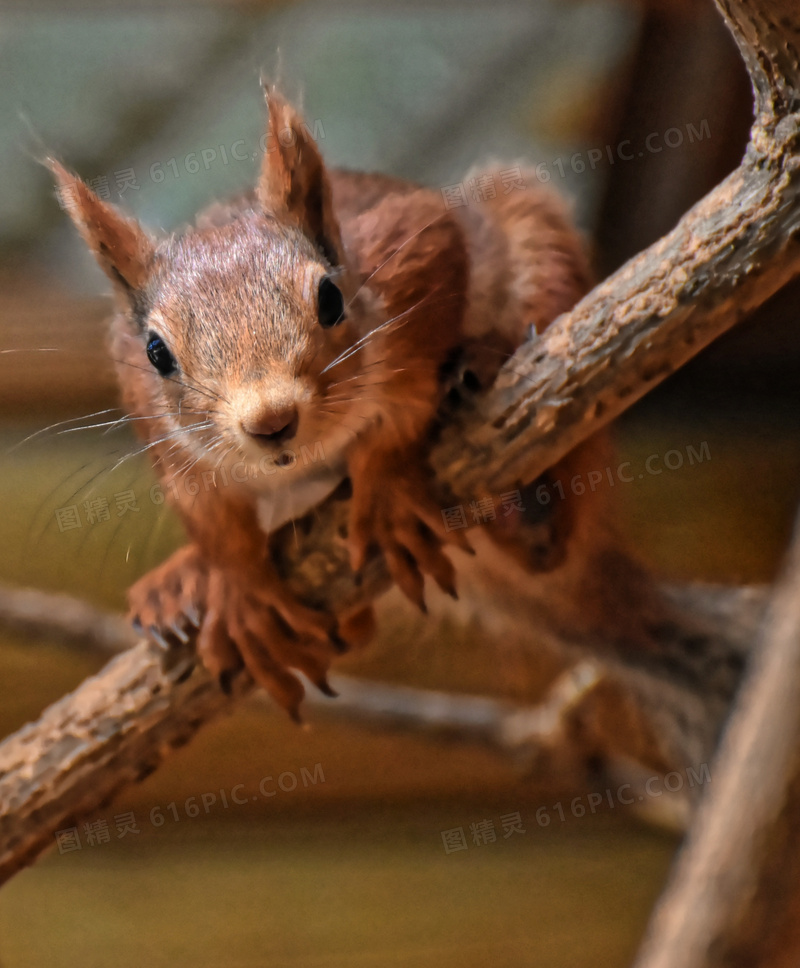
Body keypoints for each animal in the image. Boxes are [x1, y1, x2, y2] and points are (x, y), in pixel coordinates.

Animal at [51, 89, 668, 720]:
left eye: (330, 298)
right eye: (156, 352)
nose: (271, 422)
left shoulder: (412, 245)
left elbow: (405, 399)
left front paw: (388, 484)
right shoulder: (154, 418)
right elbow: (209, 512)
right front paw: (238, 586)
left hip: (535, 237)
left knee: (556, 538)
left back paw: (513, 459)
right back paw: (180, 586)